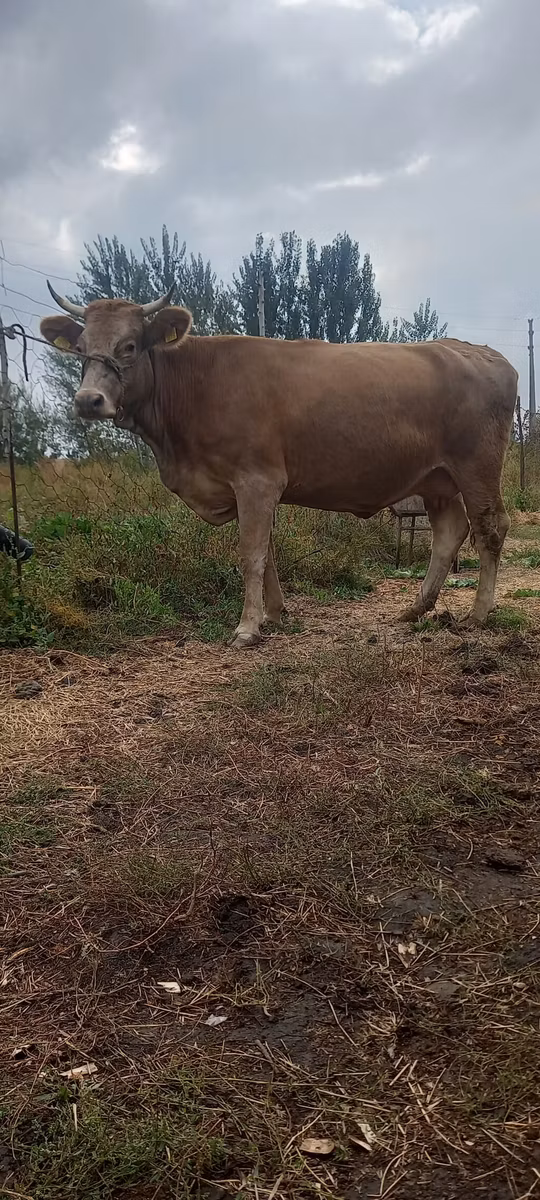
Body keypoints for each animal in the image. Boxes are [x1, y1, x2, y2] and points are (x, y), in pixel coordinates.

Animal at [41, 284, 518, 649]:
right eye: (80, 349)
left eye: (129, 346)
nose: (88, 400)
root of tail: (481, 352)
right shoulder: (245, 487)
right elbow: (266, 551)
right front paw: (274, 614)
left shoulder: (256, 479)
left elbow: (250, 554)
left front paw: (247, 628)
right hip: (436, 479)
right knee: (450, 532)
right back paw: (415, 608)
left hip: (476, 467)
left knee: (490, 528)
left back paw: (478, 614)